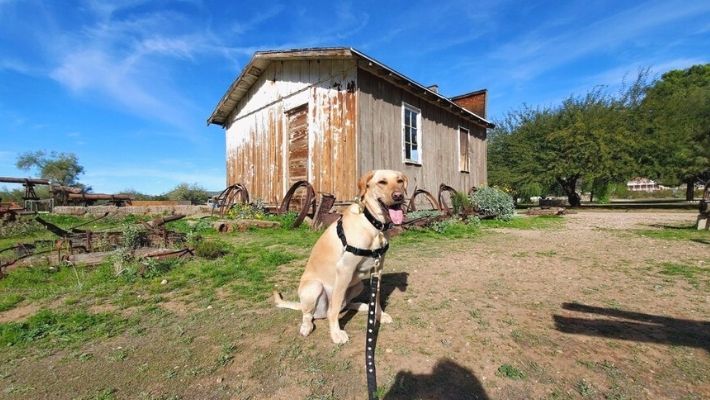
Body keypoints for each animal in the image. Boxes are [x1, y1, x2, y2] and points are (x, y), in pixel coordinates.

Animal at [274, 169, 406, 344]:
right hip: (314, 287)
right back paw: (307, 326)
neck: (373, 224)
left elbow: (376, 298)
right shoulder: (345, 269)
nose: (399, 196)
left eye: (400, 181)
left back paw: (362, 306)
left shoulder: (378, 269)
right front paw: (336, 333)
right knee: (311, 314)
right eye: (382, 182)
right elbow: (335, 310)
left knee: (345, 304)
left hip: (358, 285)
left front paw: (379, 315)